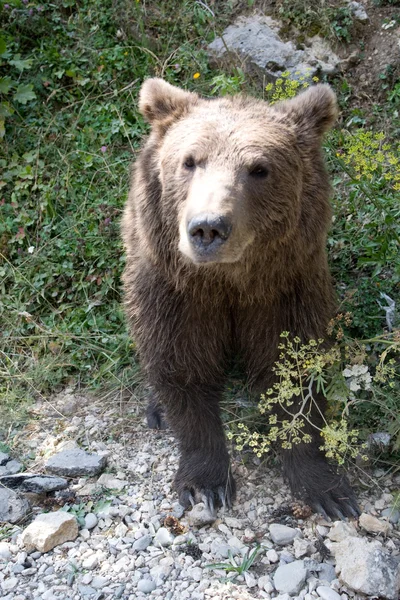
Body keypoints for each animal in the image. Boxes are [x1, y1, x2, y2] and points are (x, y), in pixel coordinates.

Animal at [122, 78, 360, 520]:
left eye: (259, 169)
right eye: (189, 161)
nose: (207, 227)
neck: (229, 281)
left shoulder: (285, 288)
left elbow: (293, 369)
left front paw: (327, 489)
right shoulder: (177, 291)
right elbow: (182, 366)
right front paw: (206, 483)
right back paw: (156, 406)